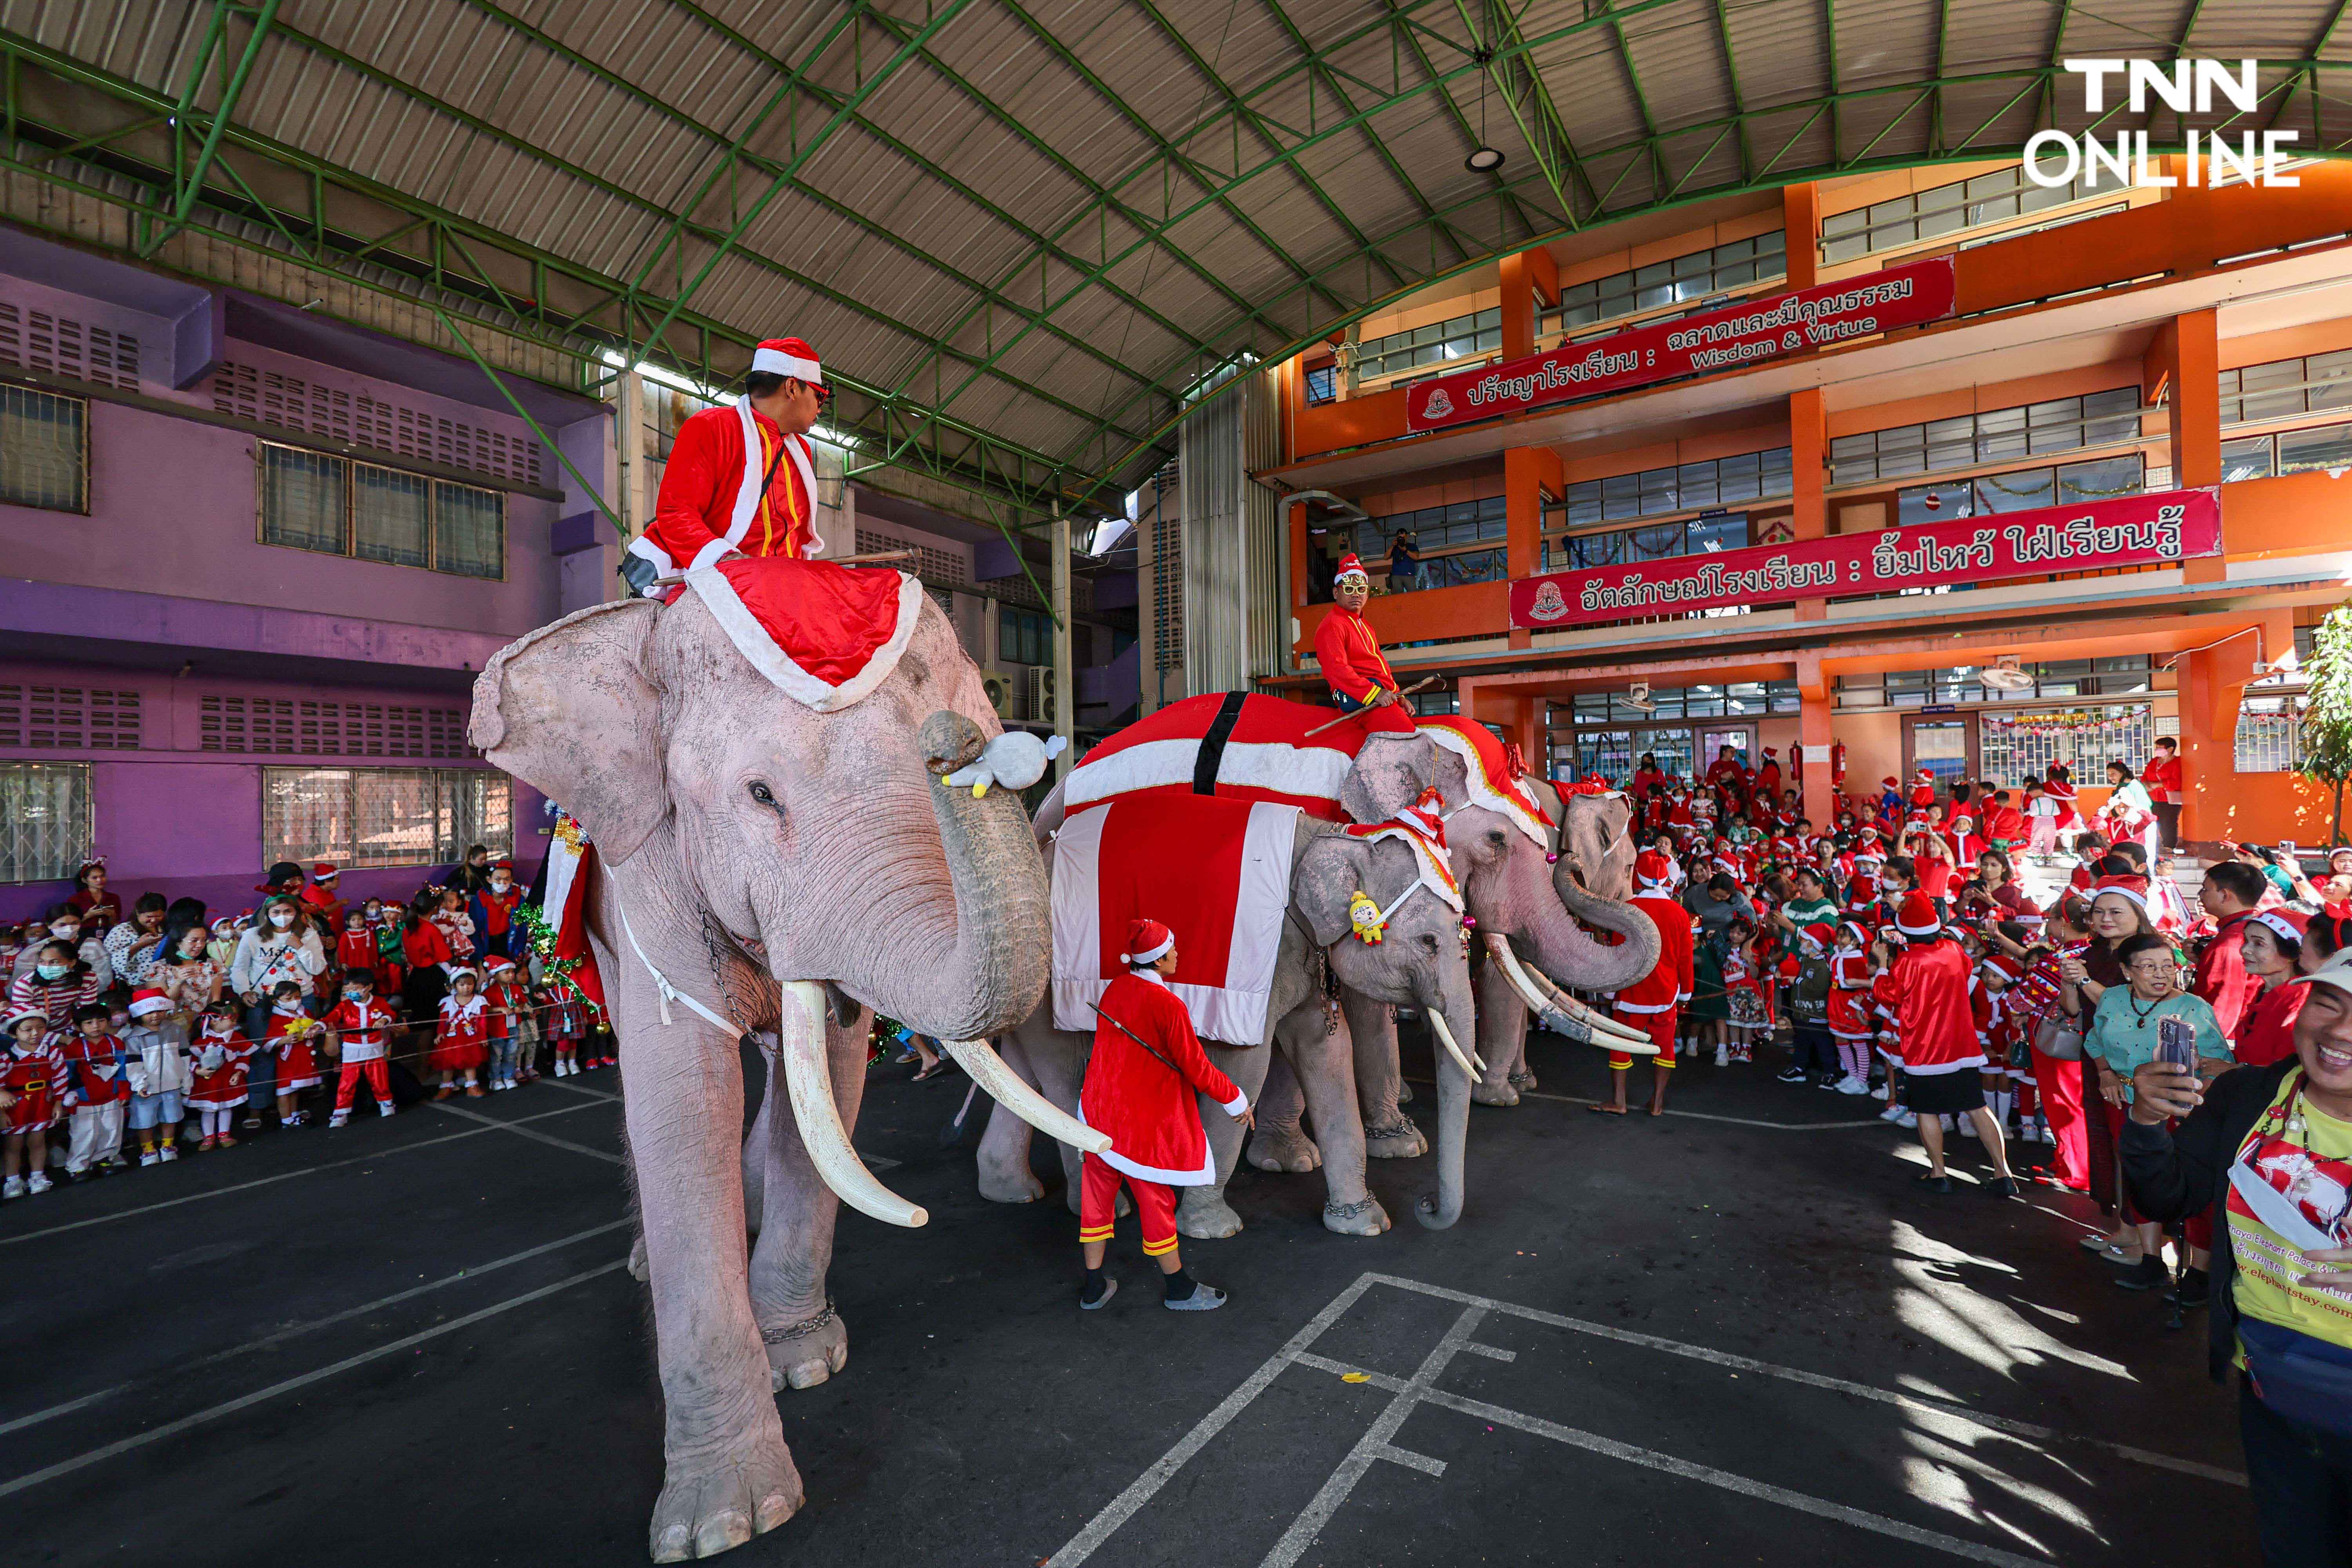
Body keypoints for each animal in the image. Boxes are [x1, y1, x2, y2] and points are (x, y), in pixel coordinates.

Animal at [480, 583, 1101, 1561]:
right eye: (760, 794)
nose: (959, 742)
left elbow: (832, 1071)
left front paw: (804, 1361)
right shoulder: (650, 867)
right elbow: (683, 1097)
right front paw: (726, 1520)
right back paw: (644, 1261)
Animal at [983, 748, 1477, 1241]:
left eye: (1463, 928)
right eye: (1429, 942)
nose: (1426, 1204)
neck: (1334, 836)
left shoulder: (1302, 954)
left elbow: (1327, 1054)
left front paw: (1364, 1223)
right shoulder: (1261, 956)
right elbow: (1244, 1066)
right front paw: (1212, 1230)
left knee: (1022, 1070)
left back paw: (1012, 1191)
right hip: (1053, 977)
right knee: (1064, 1073)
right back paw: (1110, 1210)